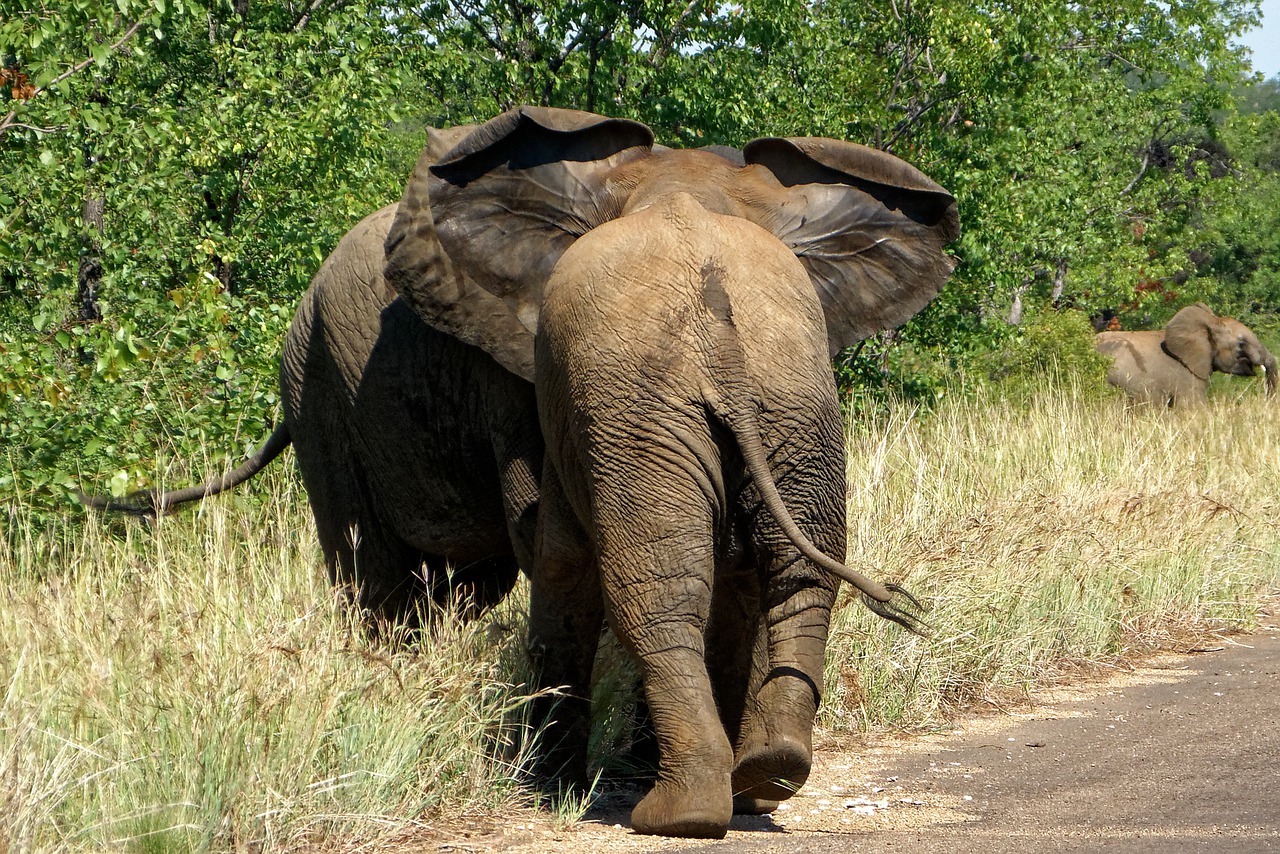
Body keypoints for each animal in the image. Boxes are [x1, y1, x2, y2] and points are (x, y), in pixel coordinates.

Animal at [381, 104, 962, 834]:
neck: (683, 188)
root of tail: (719, 322)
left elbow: (563, 561)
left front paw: (547, 788)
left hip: (649, 409)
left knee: (656, 593)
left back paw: (678, 811)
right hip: (790, 404)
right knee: (793, 572)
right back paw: (767, 776)